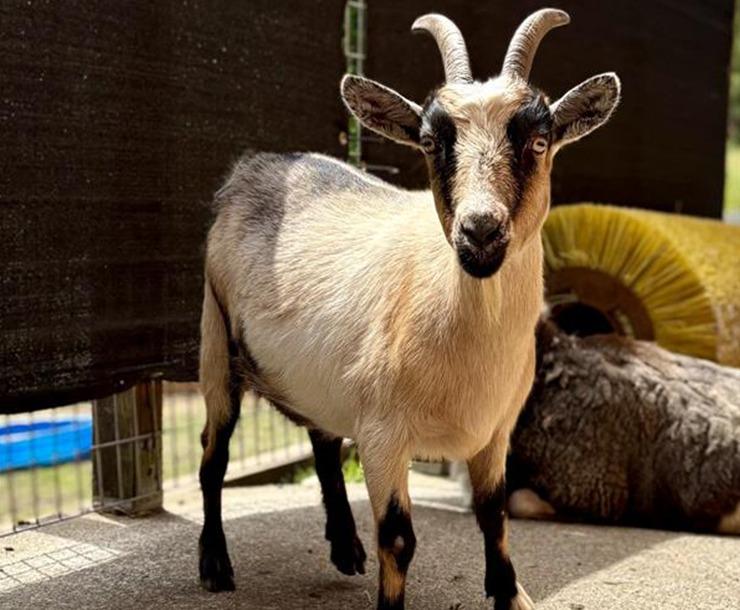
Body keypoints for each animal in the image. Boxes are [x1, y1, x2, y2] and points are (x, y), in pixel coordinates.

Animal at [197, 9, 620, 610]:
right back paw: (215, 564)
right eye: (428, 142)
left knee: (322, 441)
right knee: (215, 456)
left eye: (539, 141)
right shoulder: (384, 435)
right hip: (216, 340)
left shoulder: (496, 431)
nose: (480, 231)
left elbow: (493, 515)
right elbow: (398, 538)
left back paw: (345, 547)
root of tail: (256, 165)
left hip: (317, 373)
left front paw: (509, 593)